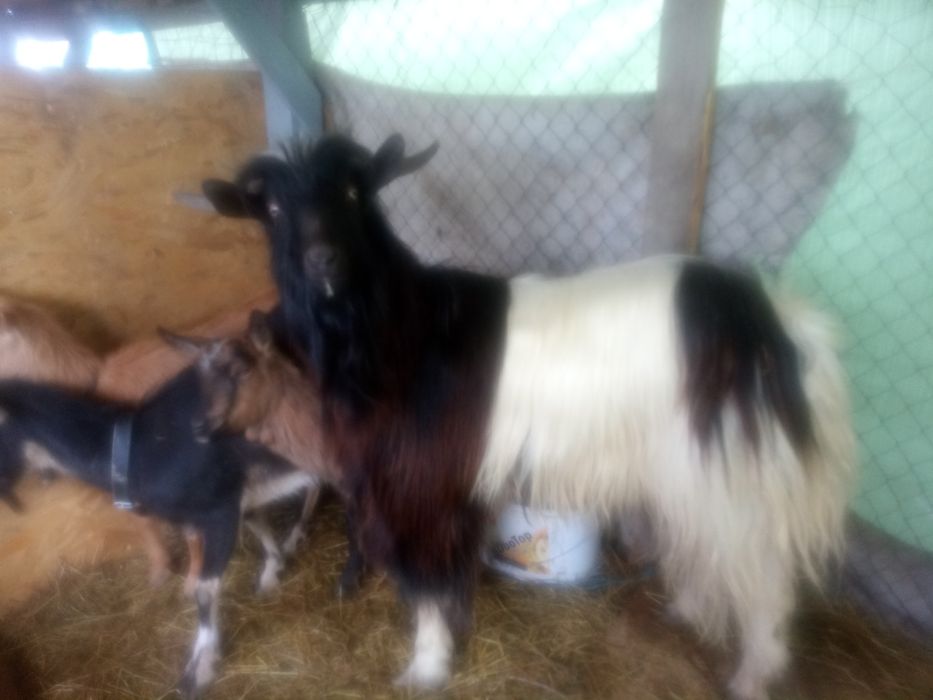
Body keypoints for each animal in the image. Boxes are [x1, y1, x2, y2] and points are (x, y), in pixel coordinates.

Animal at [202, 133, 855, 700]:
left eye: (354, 192)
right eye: (273, 207)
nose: (324, 261)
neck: (401, 339)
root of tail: (780, 323)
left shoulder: (424, 490)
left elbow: (429, 584)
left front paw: (427, 668)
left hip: (737, 472)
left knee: (763, 578)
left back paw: (752, 676)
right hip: (691, 470)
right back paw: (687, 611)